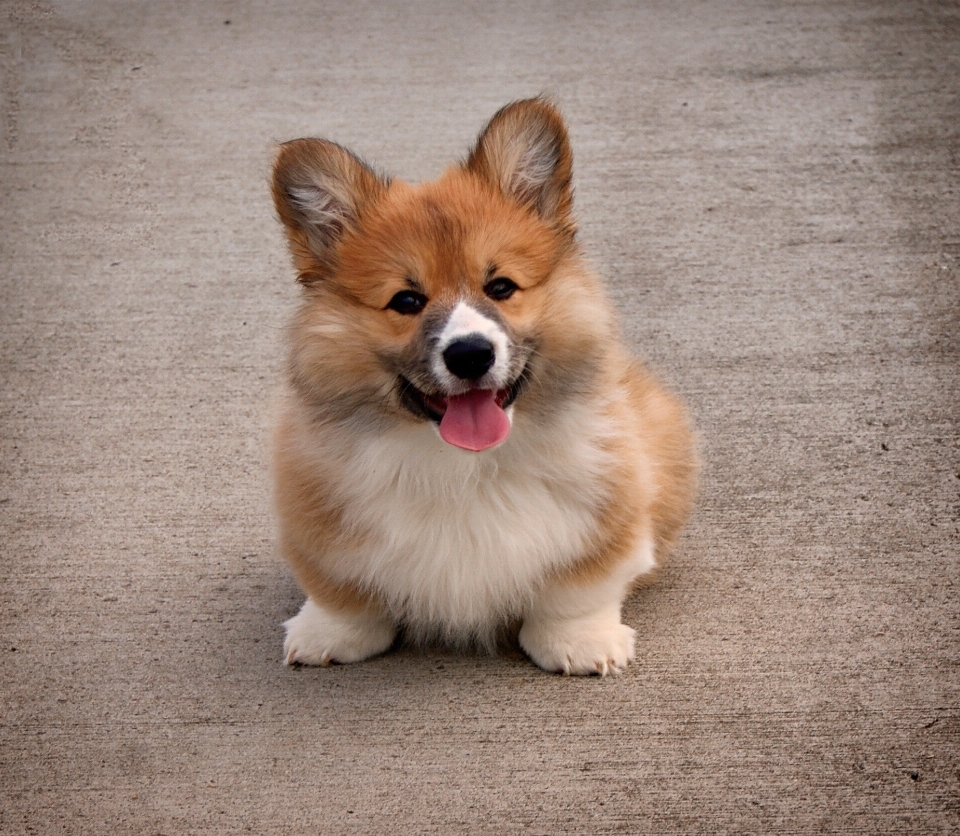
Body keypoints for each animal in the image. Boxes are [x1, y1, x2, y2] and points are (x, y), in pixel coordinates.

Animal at [270, 98, 696, 676]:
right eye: (406, 301)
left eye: (500, 287)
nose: (470, 353)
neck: (464, 468)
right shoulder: (315, 519)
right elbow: (341, 591)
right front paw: (328, 634)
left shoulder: (611, 510)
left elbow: (579, 588)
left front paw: (579, 641)